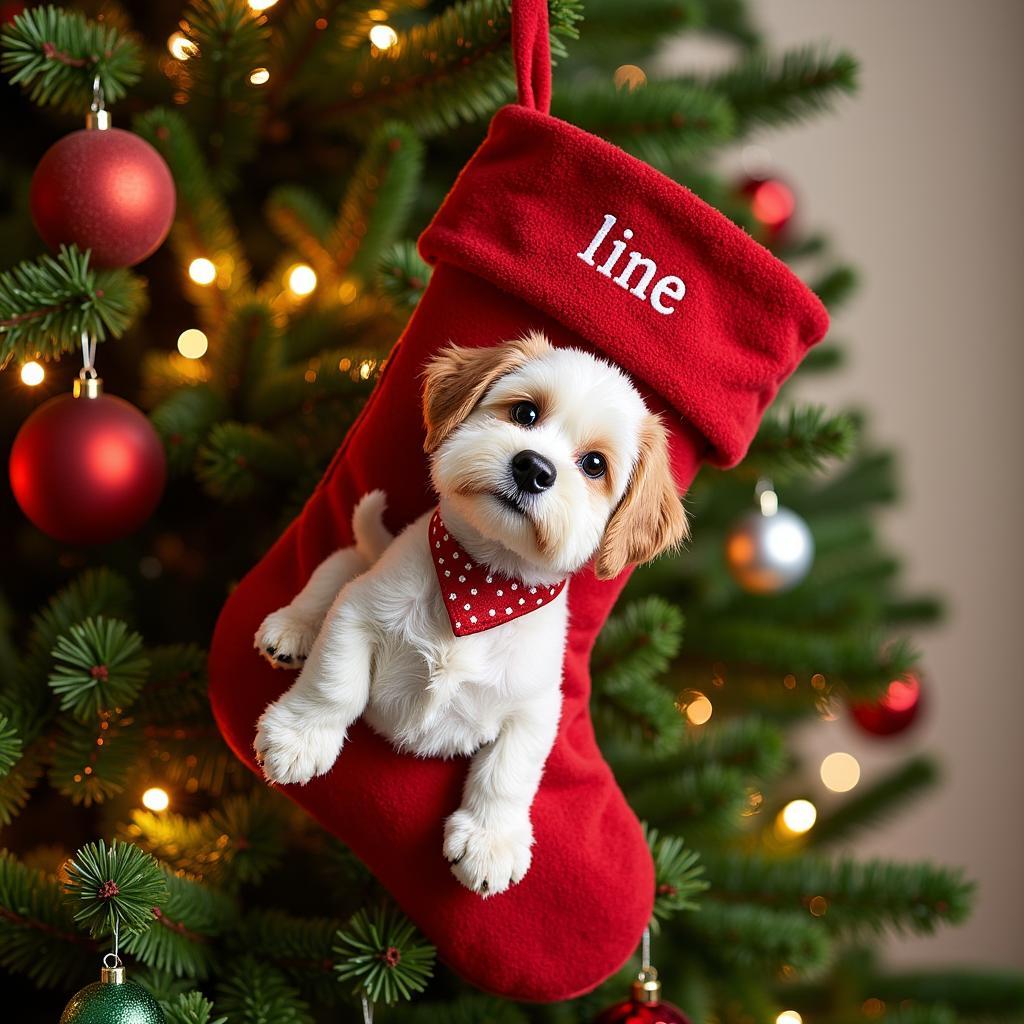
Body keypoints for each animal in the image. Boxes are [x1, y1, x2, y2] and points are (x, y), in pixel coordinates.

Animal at [252, 333, 688, 897]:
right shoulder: (357, 614)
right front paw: (301, 738)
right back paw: (293, 627)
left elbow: (509, 772)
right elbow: (335, 684)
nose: (534, 468)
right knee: (334, 568)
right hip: (355, 569)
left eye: (595, 464)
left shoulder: (537, 705)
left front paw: (490, 839)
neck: (479, 586)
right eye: (525, 412)